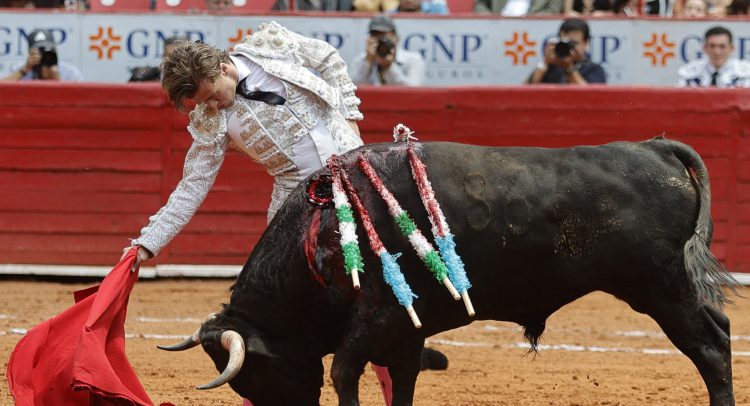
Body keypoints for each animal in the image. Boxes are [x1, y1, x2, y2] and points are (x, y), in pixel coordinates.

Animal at [160, 138, 738, 406]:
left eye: (252, 373)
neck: (322, 234)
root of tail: (655, 145)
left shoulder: (377, 319)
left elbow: (344, 370)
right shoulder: (405, 330)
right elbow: (403, 379)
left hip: (660, 287)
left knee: (709, 345)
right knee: (720, 334)